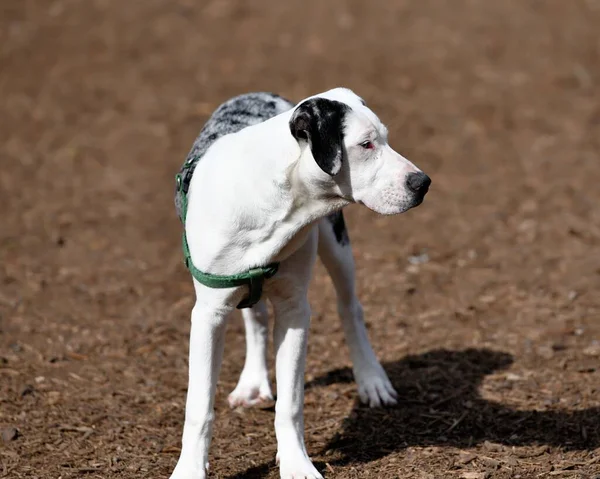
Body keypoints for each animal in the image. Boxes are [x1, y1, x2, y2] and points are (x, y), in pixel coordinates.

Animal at [171, 88, 428, 478]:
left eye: (384, 137)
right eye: (366, 144)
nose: (422, 182)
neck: (273, 203)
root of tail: (263, 93)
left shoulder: (294, 311)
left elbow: (290, 403)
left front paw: (295, 462)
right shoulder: (208, 315)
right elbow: (198, 407)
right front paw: (189, 469)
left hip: (337, 247)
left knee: (350, 309)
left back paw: (371, 378)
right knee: (257, 318)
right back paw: (253, 382)